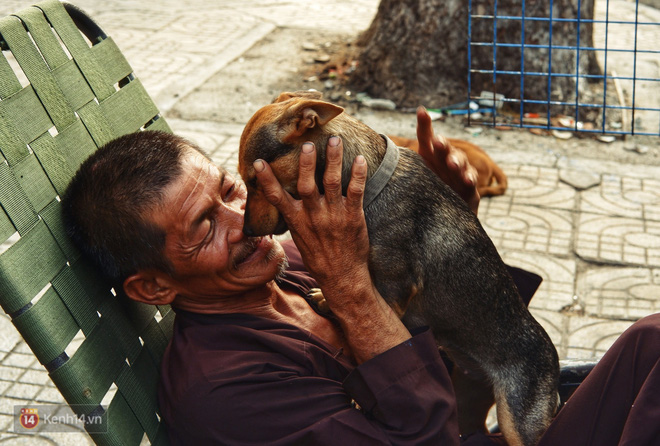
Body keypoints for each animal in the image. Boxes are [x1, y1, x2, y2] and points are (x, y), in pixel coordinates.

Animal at [237, 91, 556, 446]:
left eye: (255, 179)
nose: (246, 231)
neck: (368, 185)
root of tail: (551, 363)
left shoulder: (393, 290)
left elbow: (360, 346)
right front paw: (324, 297)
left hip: (519, 422)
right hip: (470, 394)